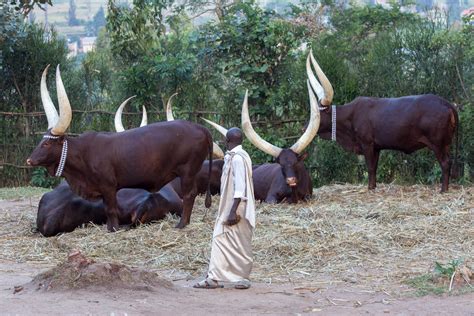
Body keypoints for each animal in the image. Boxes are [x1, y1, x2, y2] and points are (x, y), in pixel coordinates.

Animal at [26, 65, 214, 231]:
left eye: (47, 143)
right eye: (41, 141)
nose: (29, 160)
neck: (83, 154)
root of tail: (201, 128)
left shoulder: (108, 186)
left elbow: (111, 209)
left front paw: (114, 229)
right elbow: (108, 209)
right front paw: (110, 227)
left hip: (187, 171)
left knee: (190, 195)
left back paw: (182, 224)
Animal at [306, 50, 458, 191]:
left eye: (318, 113)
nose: (304, 127)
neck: (350, 115)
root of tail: (447, 104)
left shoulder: (367, 144)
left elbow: (370, 167)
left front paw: (369, 188)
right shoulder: (377, 147)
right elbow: (374, 167)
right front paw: (373, 186)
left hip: (437, 143)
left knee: (445, 163)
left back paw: (443, 189)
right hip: (446, 143)